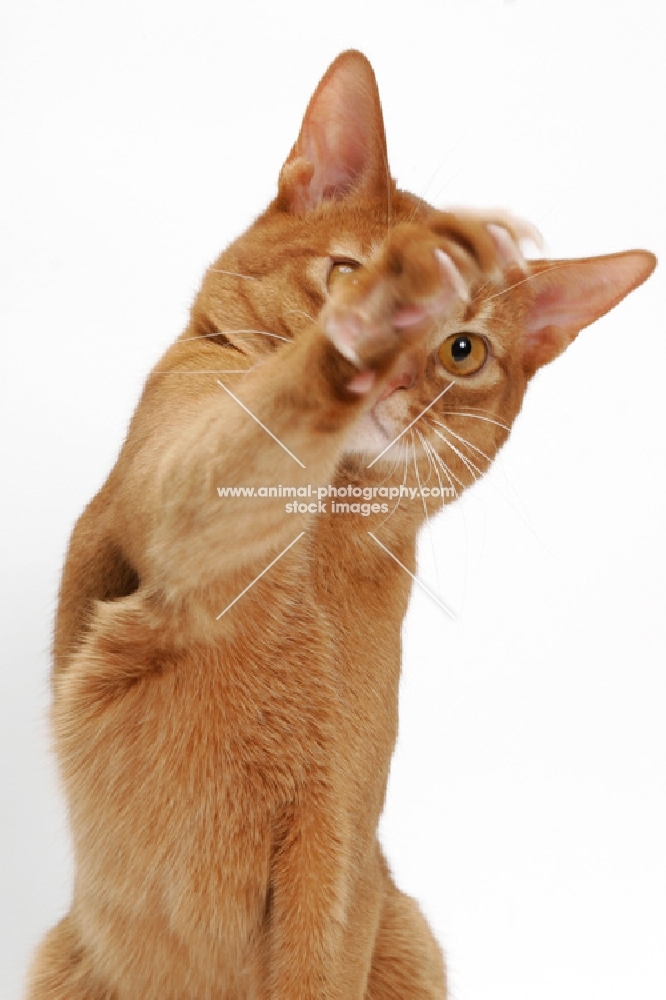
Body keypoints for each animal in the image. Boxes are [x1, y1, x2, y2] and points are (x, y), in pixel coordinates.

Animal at [27, 50, 652, 1000]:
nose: (394, 376)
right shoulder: (176, 496)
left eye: (463, 350)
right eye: (355, 275)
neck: (321, 521)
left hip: (407, 931)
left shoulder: (337, 852)